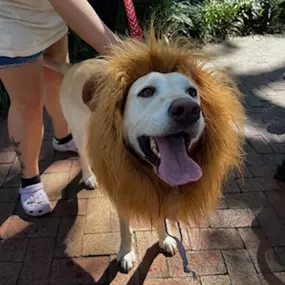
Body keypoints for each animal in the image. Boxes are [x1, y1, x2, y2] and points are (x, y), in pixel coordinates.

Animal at [45, 28, 244, 272]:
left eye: (192, 91)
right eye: (146, 92)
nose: (187, 109)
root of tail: (75, 65)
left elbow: (161, 218)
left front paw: (165, 238)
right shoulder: (121, 189)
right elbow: (125, 228)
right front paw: (127, 252)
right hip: (79, 132)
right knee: (83, 156)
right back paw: (90, 176)